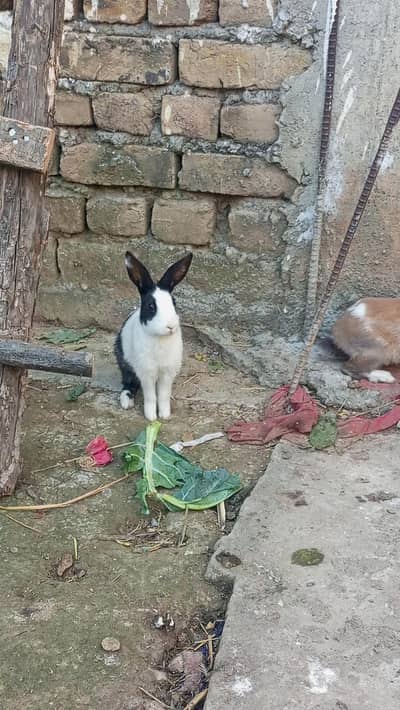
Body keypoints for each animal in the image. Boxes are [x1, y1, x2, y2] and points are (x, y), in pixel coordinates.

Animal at [114, 251, 193, 421]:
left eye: (174, 303)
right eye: (151, 306)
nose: (170, 326)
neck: (160, 337)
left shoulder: (167, 373)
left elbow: (163, 395)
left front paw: (164, 415)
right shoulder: (147, 372)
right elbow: (151, 396)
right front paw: (151, 417)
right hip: (125, 363)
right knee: (128, 383)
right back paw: (126, 402)